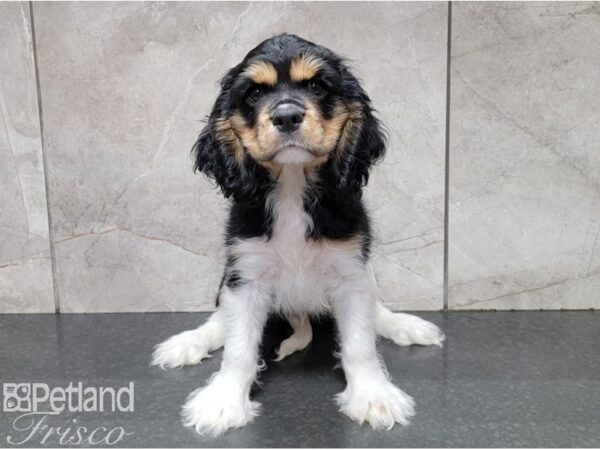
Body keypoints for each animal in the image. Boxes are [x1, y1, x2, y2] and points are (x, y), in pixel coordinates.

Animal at [154, 33, 446, 434]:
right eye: (253, 94)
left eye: (316, 86)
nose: (287, 116)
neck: (293, 184)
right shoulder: (246, 273)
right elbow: (238, 347)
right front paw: (223, 401)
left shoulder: (352, 270)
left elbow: (360, 344)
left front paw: (373, 396)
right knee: (220, 321)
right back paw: (188, 343)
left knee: (377, 309)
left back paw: (404, 325)